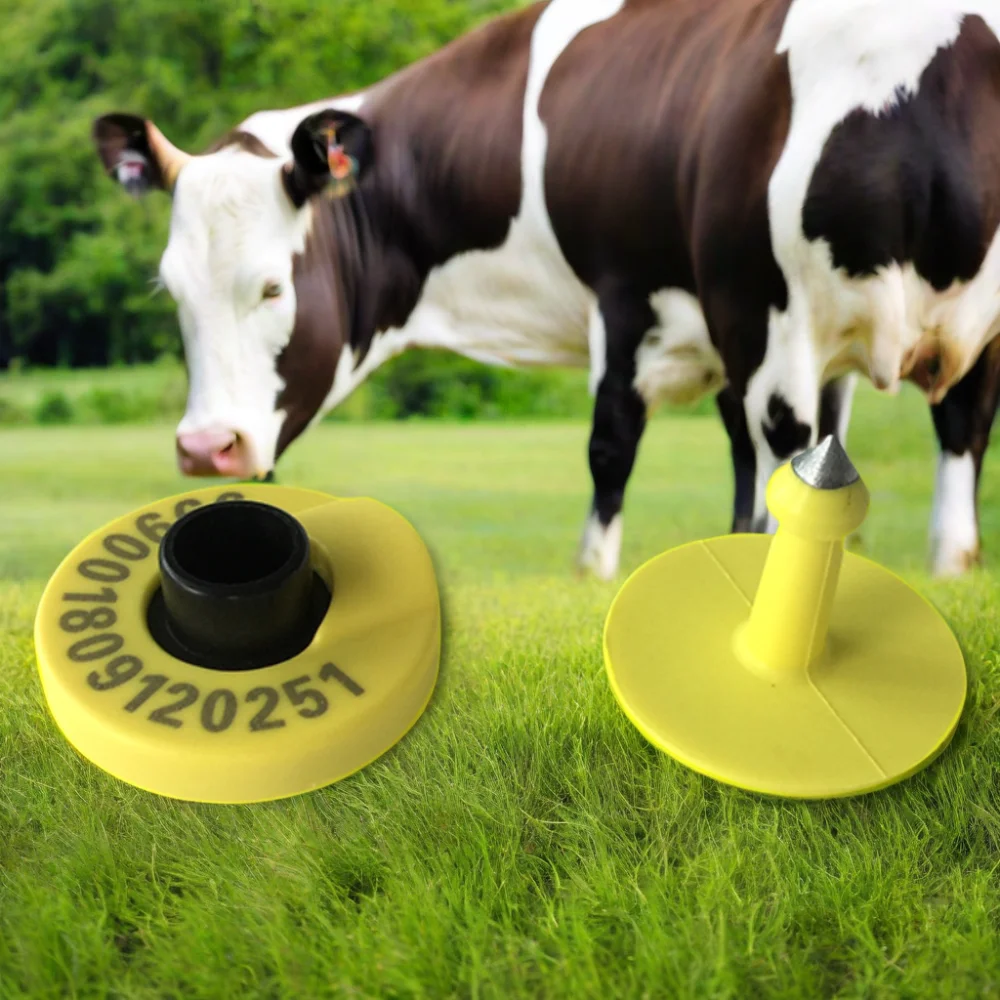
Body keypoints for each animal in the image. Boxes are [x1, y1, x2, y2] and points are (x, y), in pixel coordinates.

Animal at [92, 0, 1000, 581]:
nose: (206, 448)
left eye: (274, 287)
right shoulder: (741, 335)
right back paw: (951, 565)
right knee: (956, 429)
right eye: (171, 291)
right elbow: (765, 460)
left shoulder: (645, 296)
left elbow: (614, 442)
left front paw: (593, 571)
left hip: (772, 306)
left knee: (794, 434)